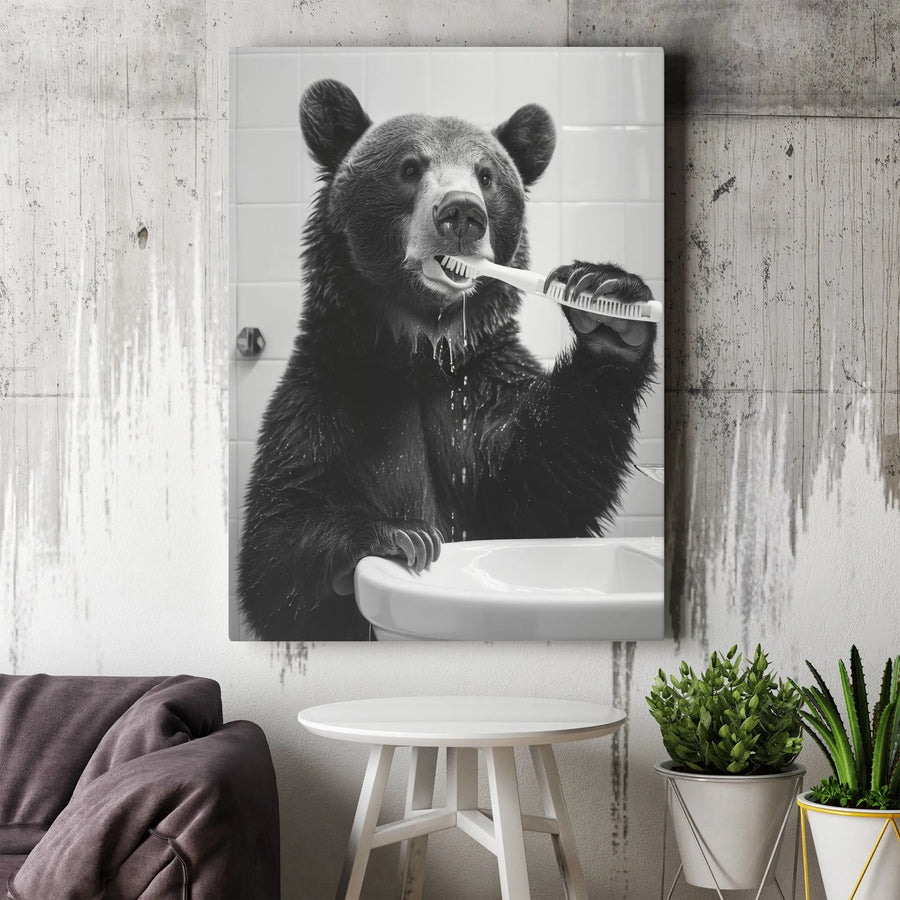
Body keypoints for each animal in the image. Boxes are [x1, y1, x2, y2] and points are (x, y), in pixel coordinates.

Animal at [238, 79, 658, 641]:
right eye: (410, 167)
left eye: (486, 175)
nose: (461, 213)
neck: (421, 355)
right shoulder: (332, 395)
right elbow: (277, 541)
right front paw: (400, 534)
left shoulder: (480, 395)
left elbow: (543, 488)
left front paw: (608, 302)